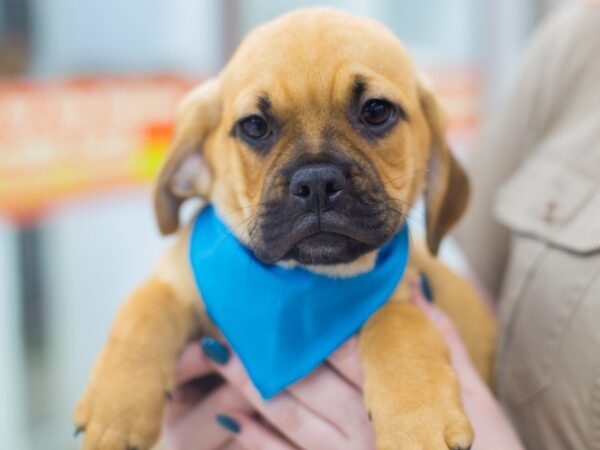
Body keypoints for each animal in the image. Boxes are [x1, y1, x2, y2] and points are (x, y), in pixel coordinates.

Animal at [76, 7, 496, 450]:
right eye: (254, 126)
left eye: (376, 111)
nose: (317, 183)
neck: (303, 280)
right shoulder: (179, 281)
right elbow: (145, 306)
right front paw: (116, 409)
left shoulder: (405, 294)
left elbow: (398, 325)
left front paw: (418, 423)